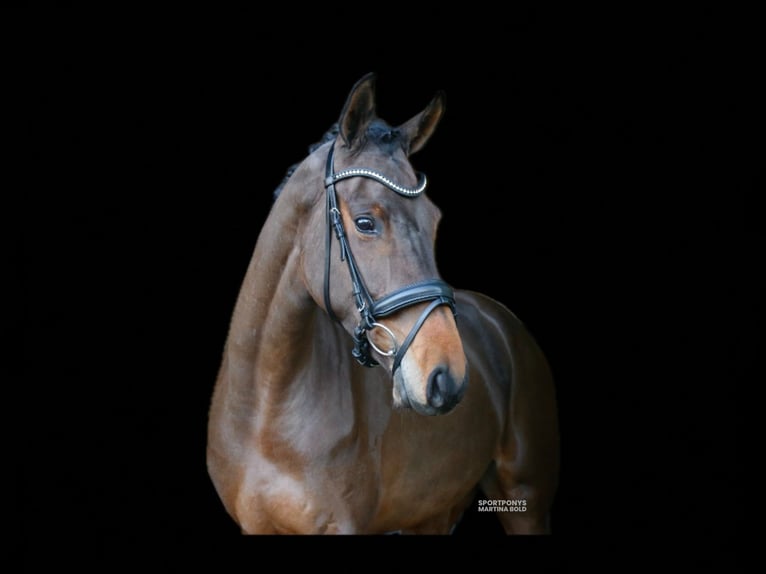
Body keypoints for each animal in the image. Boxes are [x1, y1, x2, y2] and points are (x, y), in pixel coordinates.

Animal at [207, 72, 560, 536]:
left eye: (434, 221)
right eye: (365, 223)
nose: (446, 377)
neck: (265, 413)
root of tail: (502, 321)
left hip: (526, 500)